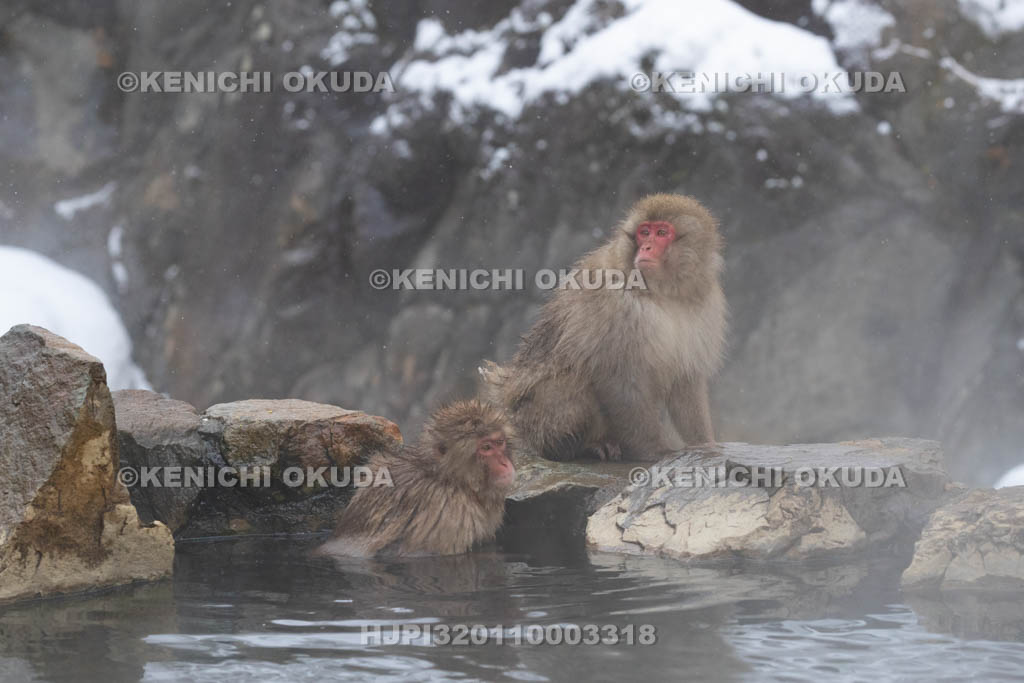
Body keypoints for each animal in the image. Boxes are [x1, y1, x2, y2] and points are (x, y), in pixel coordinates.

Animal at [480, 194, 726, 462]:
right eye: (644, 233)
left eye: (662, 232)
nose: (646, 248)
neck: (662, 293)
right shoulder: (612, 304)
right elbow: (617, 375)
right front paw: (655, 451)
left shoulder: (704, 307)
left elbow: (685, 380)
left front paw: (705, 444)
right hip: (534, 418)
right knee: (571, 382)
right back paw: (585, 445)